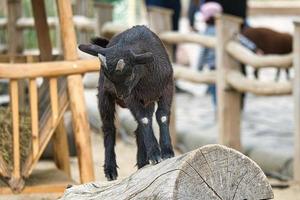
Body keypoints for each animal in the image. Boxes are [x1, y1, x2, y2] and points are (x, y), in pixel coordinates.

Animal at [78, 25, 175, 181]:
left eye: (130, 75)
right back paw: (110, 170)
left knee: (139, 129)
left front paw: (167, 151)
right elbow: (145, 120)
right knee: (109, 128)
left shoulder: (168, 88)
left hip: (147, 101)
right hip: (104, 97)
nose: (121, 96)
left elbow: (162, 116)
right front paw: (155, 154)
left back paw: (142, 162)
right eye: (107, 76)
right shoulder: (133, 97)